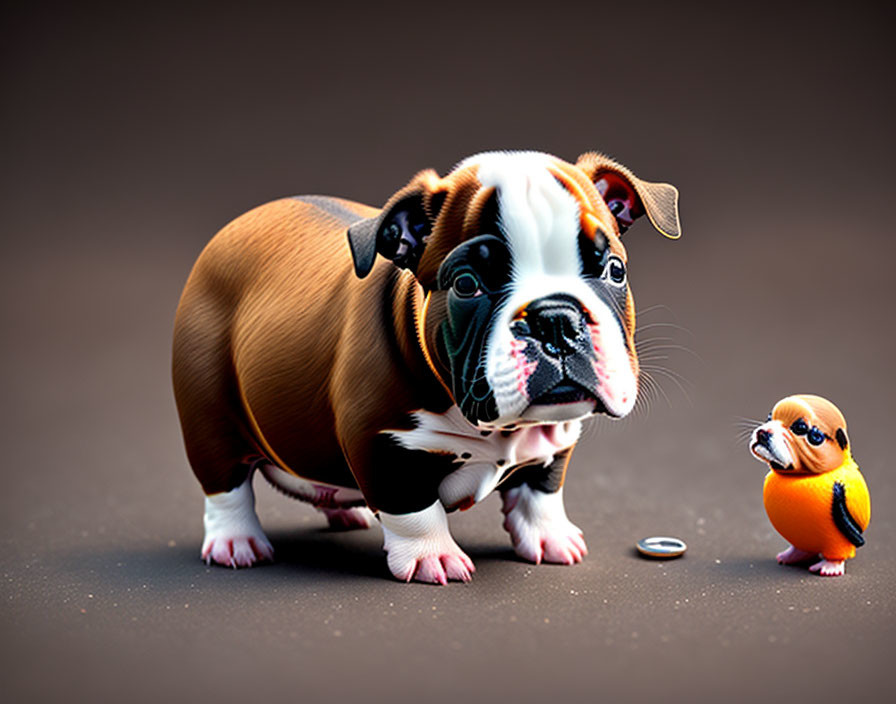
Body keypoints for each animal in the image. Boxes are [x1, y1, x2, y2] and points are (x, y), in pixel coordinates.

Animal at [172, 151, 684, 584]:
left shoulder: (556, 437)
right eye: (467, 284)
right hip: (208, 414)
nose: (555, 318)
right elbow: (413, 509)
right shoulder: (381, 441)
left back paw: (344, 508)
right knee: (226, 485)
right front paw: (430, 556)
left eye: (614, 270)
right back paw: (236, 542)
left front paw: (550, 536)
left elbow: (542, 488)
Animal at [748, 394, 868, 576]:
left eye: (801, 429)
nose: (764, 432)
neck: (803, 476)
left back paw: (830, 566)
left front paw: (831, 567)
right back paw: (792, 555)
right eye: (769, 417)